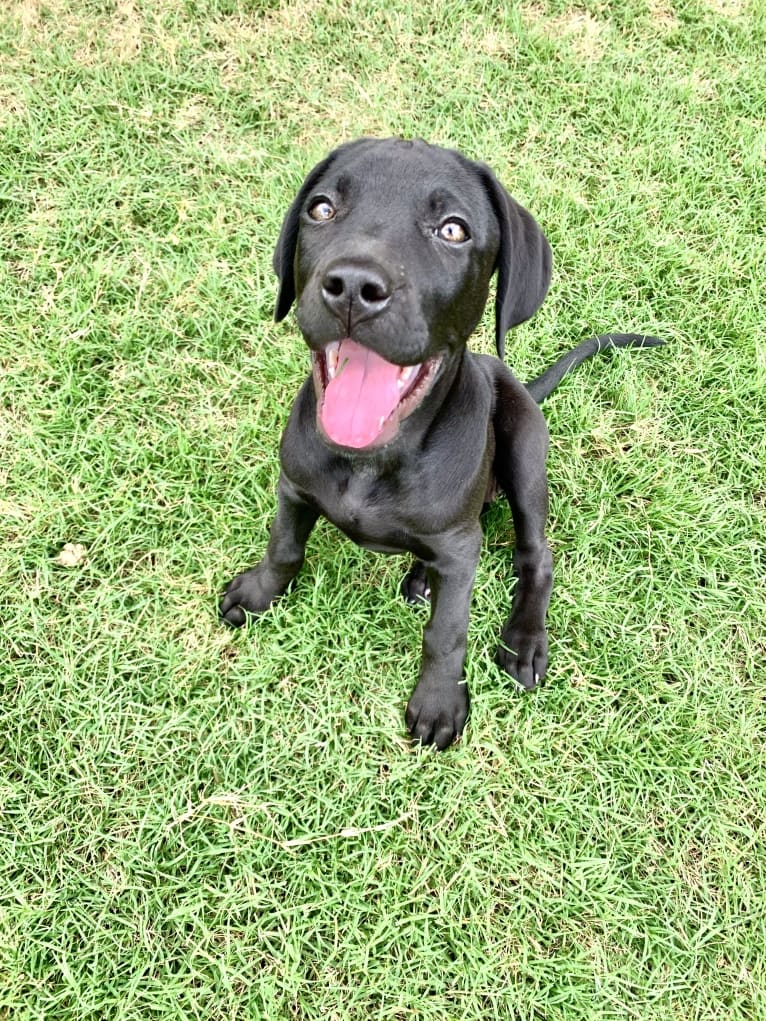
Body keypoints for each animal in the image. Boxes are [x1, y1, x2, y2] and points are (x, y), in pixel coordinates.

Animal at [218, 139, 661, 751]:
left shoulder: (457, 545)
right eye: (322, 209)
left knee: (535, 555)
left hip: (525, 452)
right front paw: (258, 594)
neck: (373, 460)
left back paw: (522, 639)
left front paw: (438, 701)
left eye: (453, 230)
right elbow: (284, 547)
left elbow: (446, 632)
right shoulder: (295, 487)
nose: (353, 287)